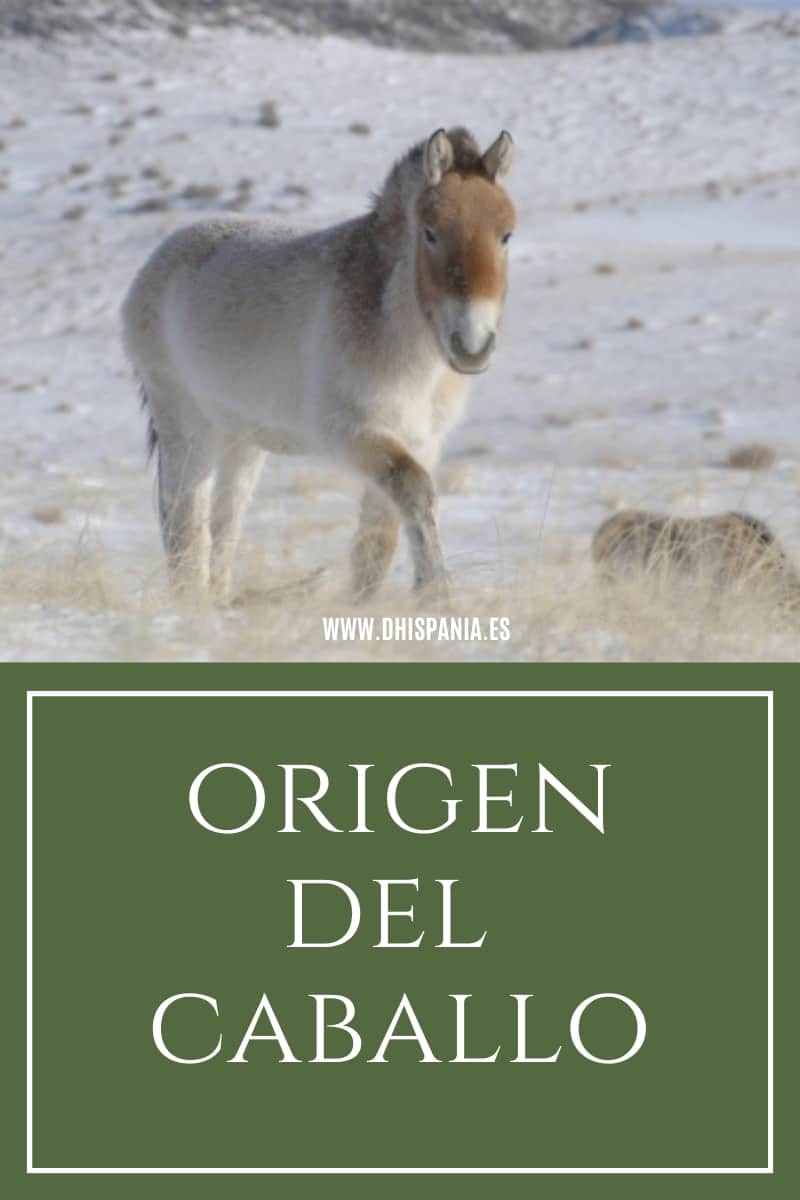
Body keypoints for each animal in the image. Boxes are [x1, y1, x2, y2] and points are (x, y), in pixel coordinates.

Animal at [121, 126, 516, 603]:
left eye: (506, 235)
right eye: (431, 233)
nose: (472, 345)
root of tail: (157, 263)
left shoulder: (419, 440)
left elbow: (378, 539)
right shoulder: (356, 434)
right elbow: (415, 491)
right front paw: (436, 592)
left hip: (241, 442)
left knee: (224, 524)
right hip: (187, 427)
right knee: (184, 522)